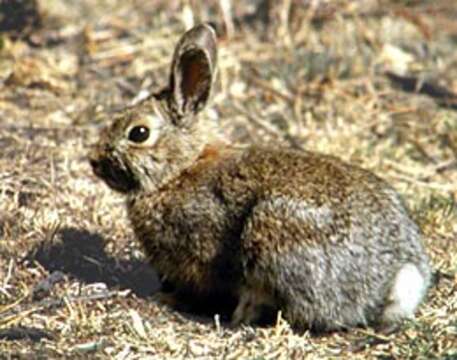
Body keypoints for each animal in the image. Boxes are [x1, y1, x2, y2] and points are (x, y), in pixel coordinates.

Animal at [89, 23, 432, 332]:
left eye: (139, 133)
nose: (94, 161)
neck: (179, 170)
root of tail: (397, 278)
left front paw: (170, 299)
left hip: (272, 234)